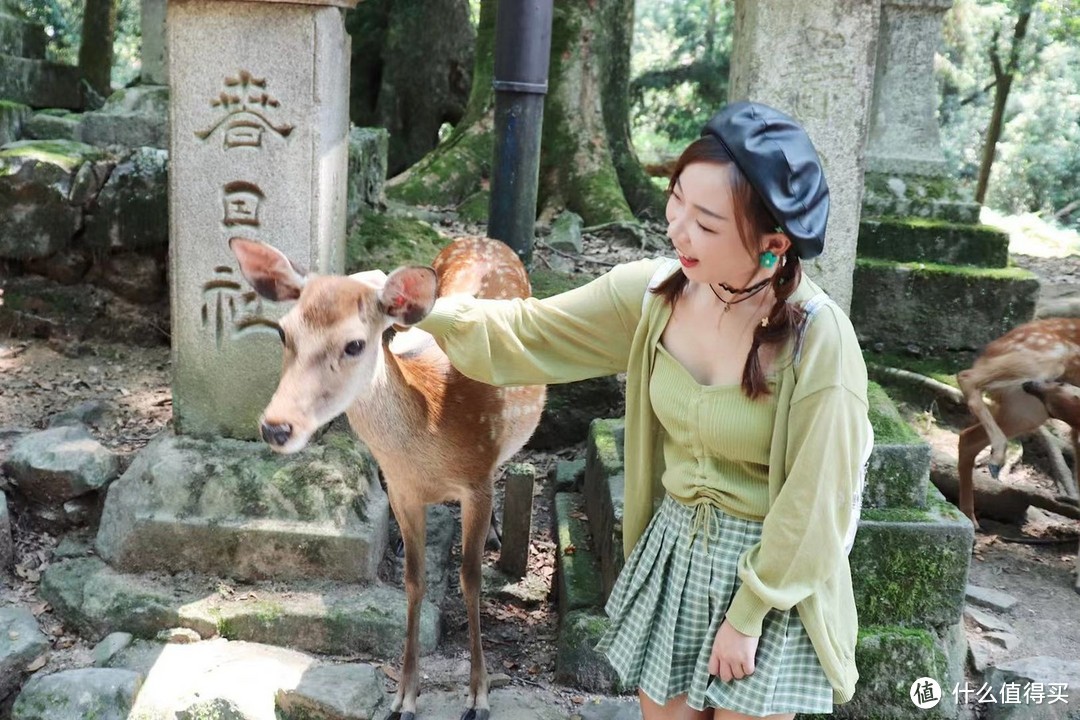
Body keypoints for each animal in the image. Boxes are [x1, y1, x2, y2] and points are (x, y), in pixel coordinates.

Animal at [230, 236, 548, 720]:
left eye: (355, 344)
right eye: (283, 332)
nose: (276, 427)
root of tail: (484, 239)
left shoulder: (475, 480)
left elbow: (470, 578)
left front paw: (478, 696)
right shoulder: (400, 490)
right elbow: (413, 581)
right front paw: (403, 698)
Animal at [959, 317, 1080, 526]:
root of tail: (990, 350)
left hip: (1027, 409)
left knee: (967, 437)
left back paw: (970, 519)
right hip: (1045, 362)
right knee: (966, 376)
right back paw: (996, 460)